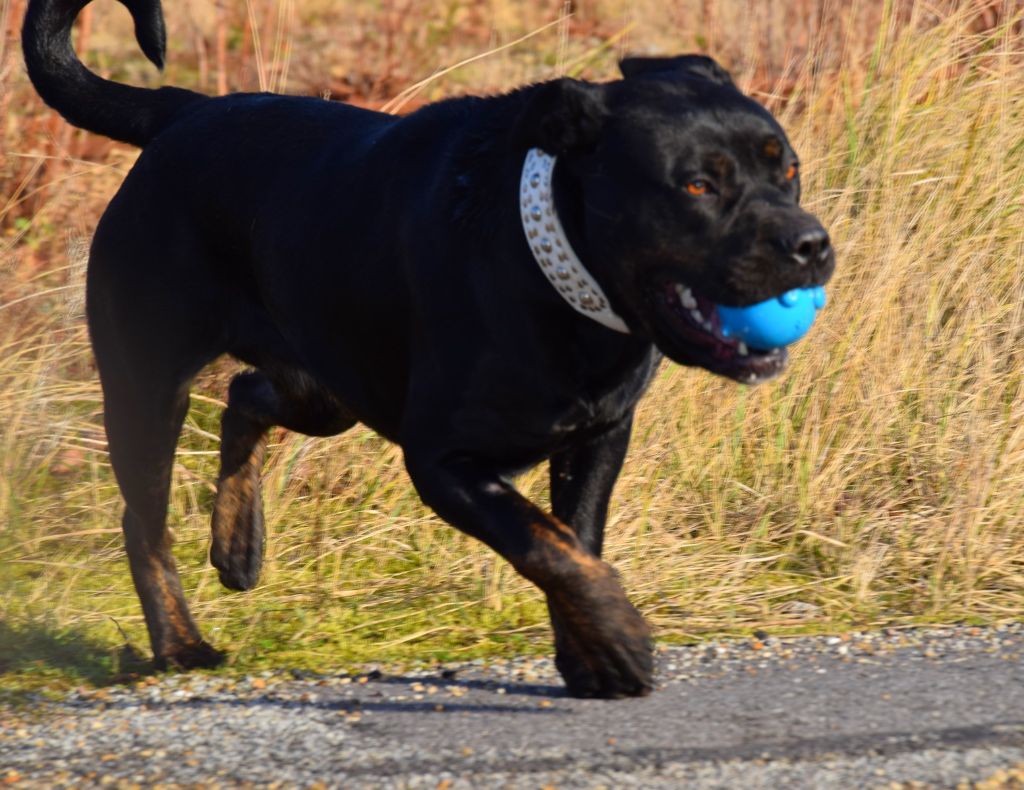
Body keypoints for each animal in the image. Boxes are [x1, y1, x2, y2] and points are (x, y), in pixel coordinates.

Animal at [23, 0, 834, 698]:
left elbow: (577, 539)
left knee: (244, 398)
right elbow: (545, 544)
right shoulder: (442, 460)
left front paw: (592, 656)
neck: (549, 274)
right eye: (697, 185)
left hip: (325, 384)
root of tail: (185, 111)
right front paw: (624, 639)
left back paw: (238, 547)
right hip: (144, 385)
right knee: (144, 522)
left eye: (788, 169)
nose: (811, 244)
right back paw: (181, 645)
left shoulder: (600, 437)